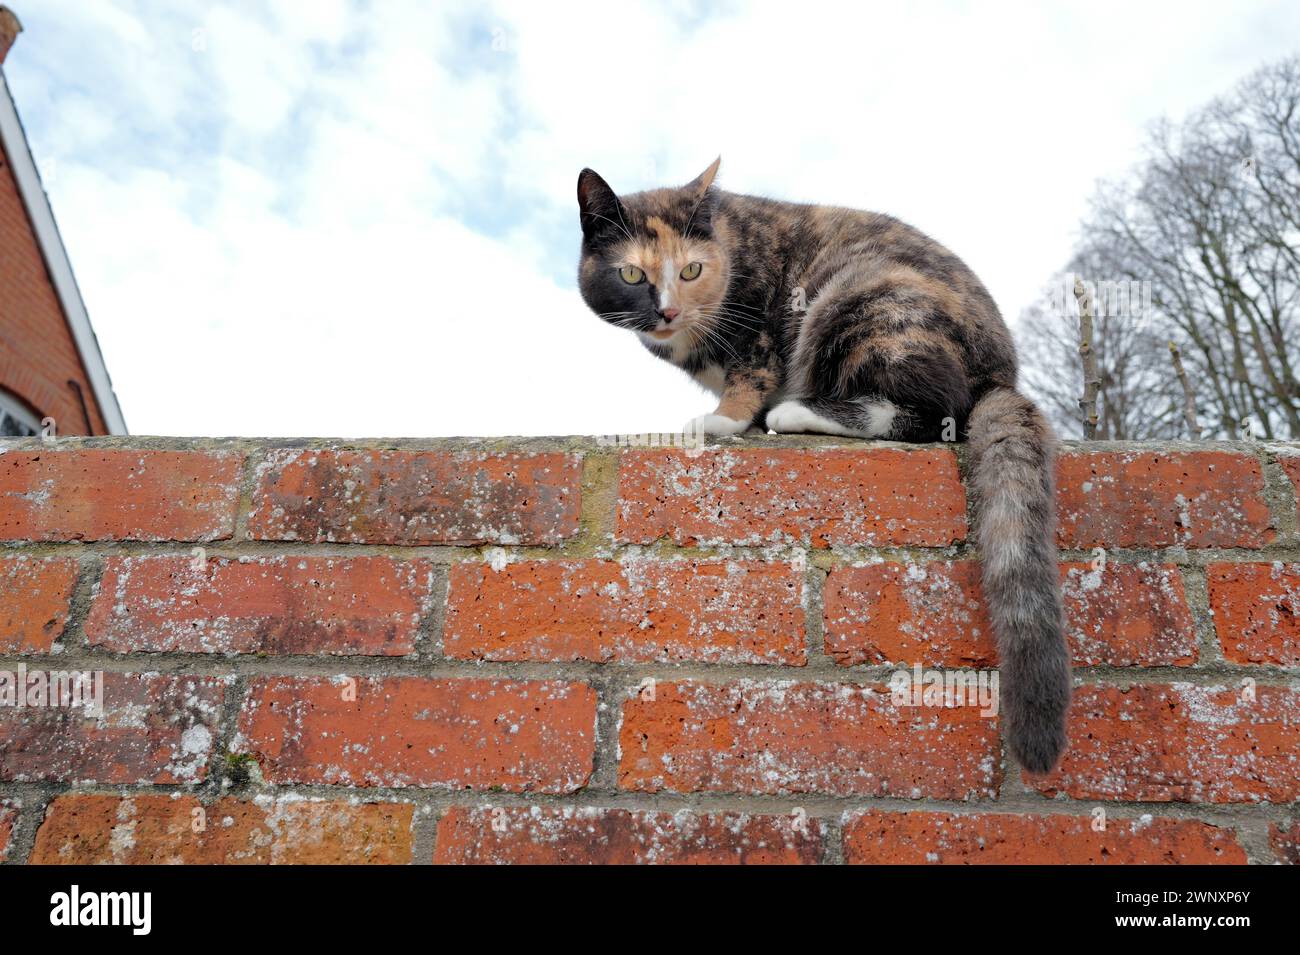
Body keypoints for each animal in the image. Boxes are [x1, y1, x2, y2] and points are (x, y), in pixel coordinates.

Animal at [574, 160, 1071, 774]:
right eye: (631, 274)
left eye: (690, 269)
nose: (666, 310)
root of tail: (1002, 375)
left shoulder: (761, 322)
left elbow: (750, 373)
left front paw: (722, 420)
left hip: (858, 295)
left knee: (934, 412)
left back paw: (799, 412)